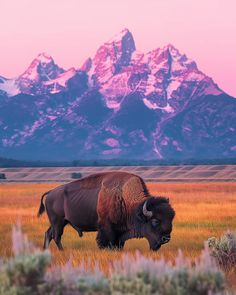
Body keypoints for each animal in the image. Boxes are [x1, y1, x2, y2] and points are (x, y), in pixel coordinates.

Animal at [37, 171, 175, 252]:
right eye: (155, 221)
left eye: (171, 219)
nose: (166, 238)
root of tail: (51, 192)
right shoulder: (107, 228)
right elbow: (106, 242)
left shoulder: (120, 232)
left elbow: (119, 244)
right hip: (58, 222)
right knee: (56, 236)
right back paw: (62, 251)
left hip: (60, 222)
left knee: (48, 234)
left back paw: (46, 250)